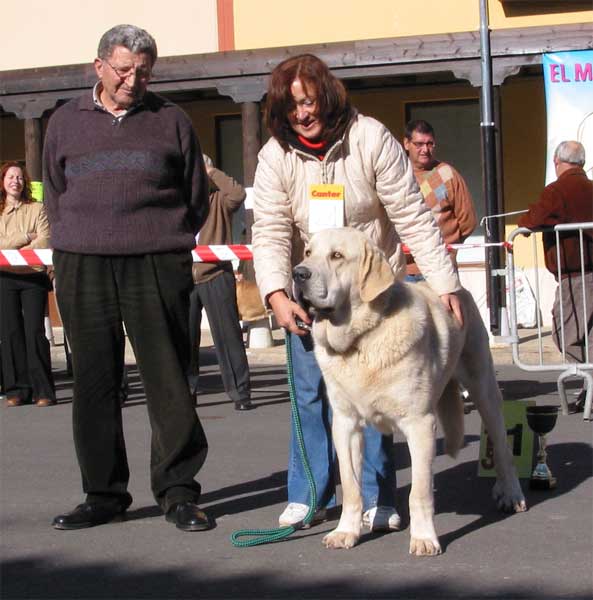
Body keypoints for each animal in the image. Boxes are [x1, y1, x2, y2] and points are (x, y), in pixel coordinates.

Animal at [292, 227, 528, 556]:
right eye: (307, 253)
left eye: (337, 256)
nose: (298, 273)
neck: (362, 341)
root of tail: (458, 289)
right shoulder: (346, 424)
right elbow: (351, 488)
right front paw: (346, 531)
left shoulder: (420, 424)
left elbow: (419, 492)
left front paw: (425, 538)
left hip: (484, 391)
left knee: (503, 447)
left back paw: (511, 494)